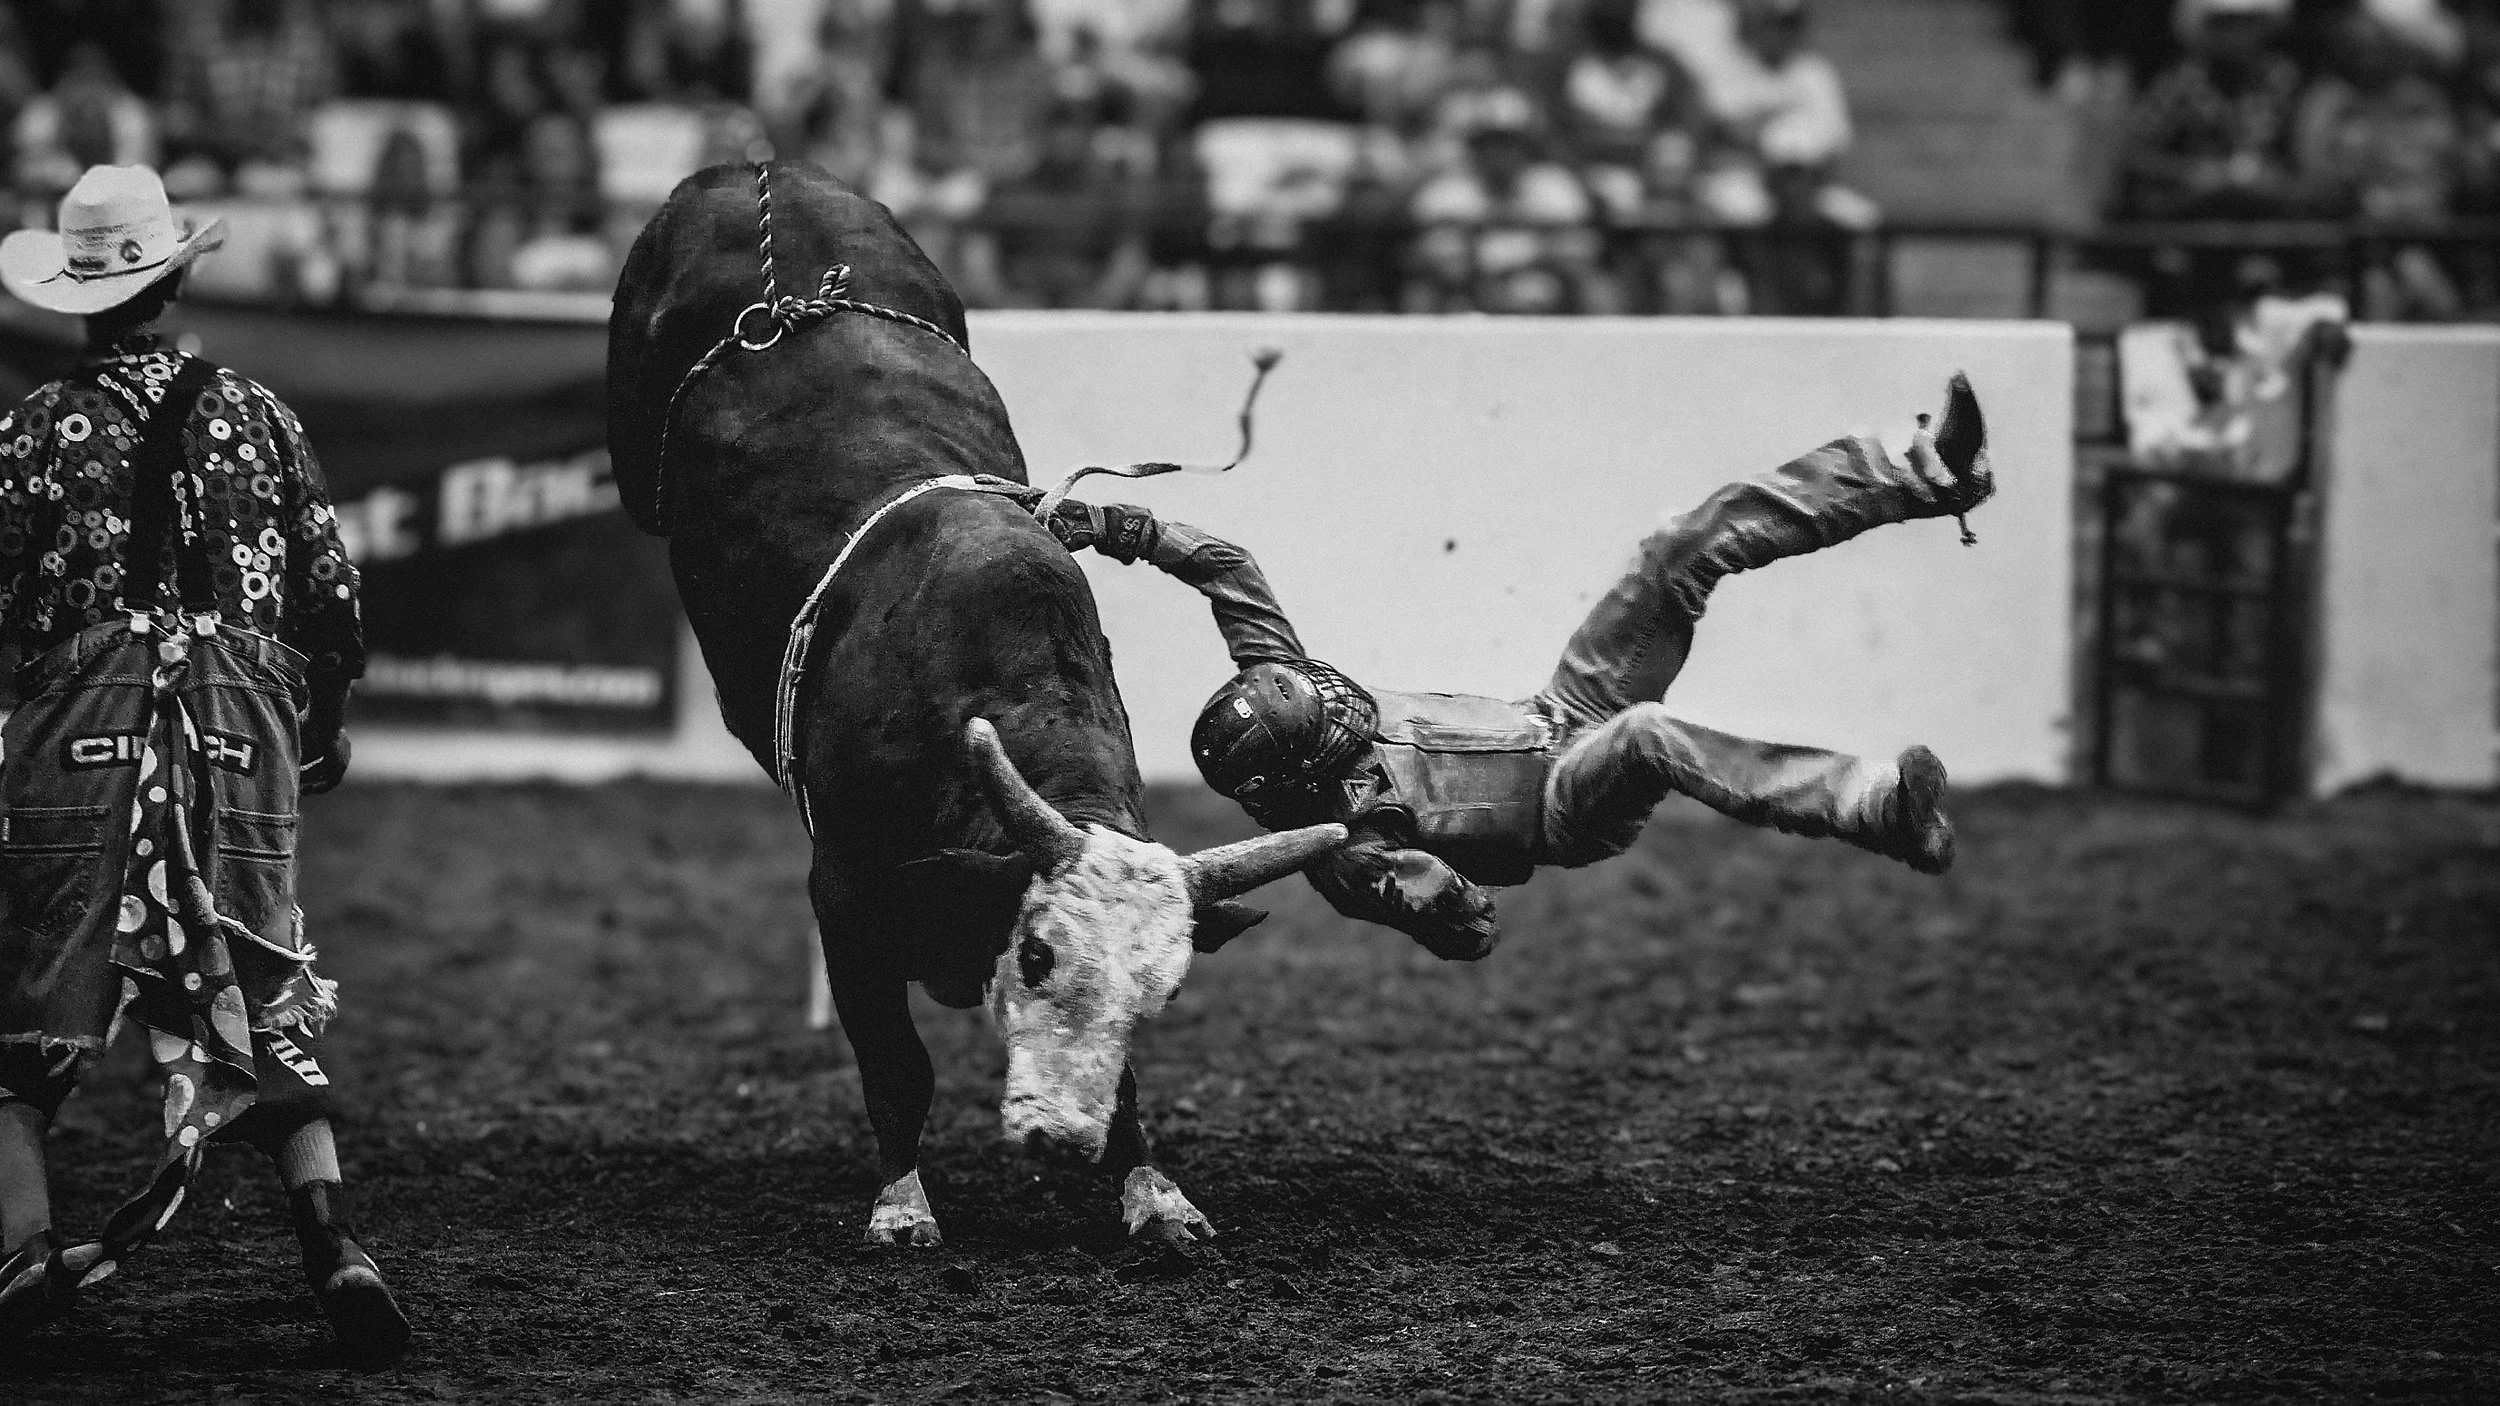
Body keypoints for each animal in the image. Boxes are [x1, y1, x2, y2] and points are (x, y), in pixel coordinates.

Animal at [605, 160, 1344, 1247]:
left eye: (1160, 992)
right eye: (1035, 953)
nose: (1063, 1143)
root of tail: (756, 170)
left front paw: (1152, 1190)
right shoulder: (845, 892)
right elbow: (896, 1064)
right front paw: (902, 1204)